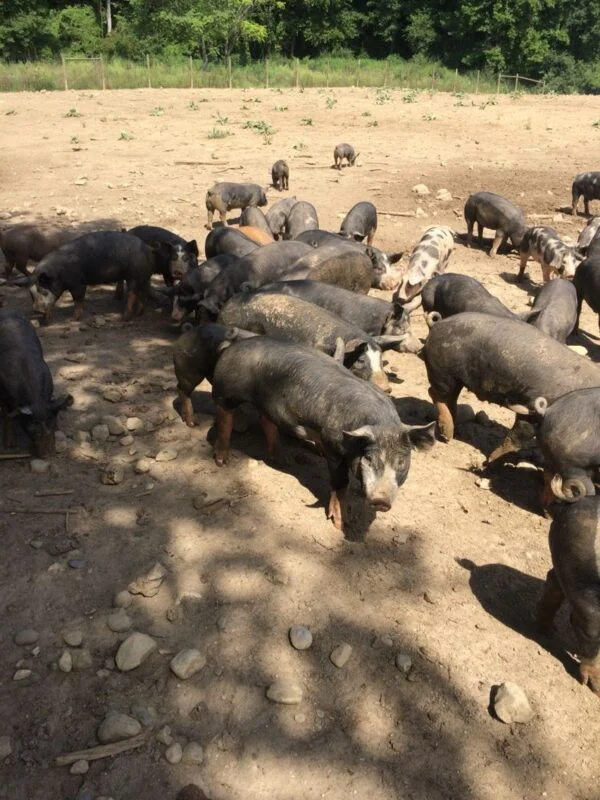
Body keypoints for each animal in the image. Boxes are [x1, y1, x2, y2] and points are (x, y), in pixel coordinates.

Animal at [0, 308, 72, 456]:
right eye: (32, 431)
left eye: (52, 425)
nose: (48, 454)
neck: (37, 402)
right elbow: (8, 415)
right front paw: (10, 446)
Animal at [211, 336, 435, 530]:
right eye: (369, 458)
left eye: (401, 461)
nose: (381, 500)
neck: (381, 424)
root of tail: (232, 346)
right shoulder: (333, 444)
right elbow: (341, 482)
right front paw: (341, 524)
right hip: (227, 391)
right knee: (224, 415)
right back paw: (222, 461)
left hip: (267, 404)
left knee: (267, 420)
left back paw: (282, 461)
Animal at [422, 312, 600, 461]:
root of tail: (438, 324)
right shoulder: (533, 408)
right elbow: (521, 433)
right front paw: (489, 460)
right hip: (442, 372)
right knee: (436, 393)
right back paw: (447, 435)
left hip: (452, 377)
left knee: (449, 397)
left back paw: (452, 431)